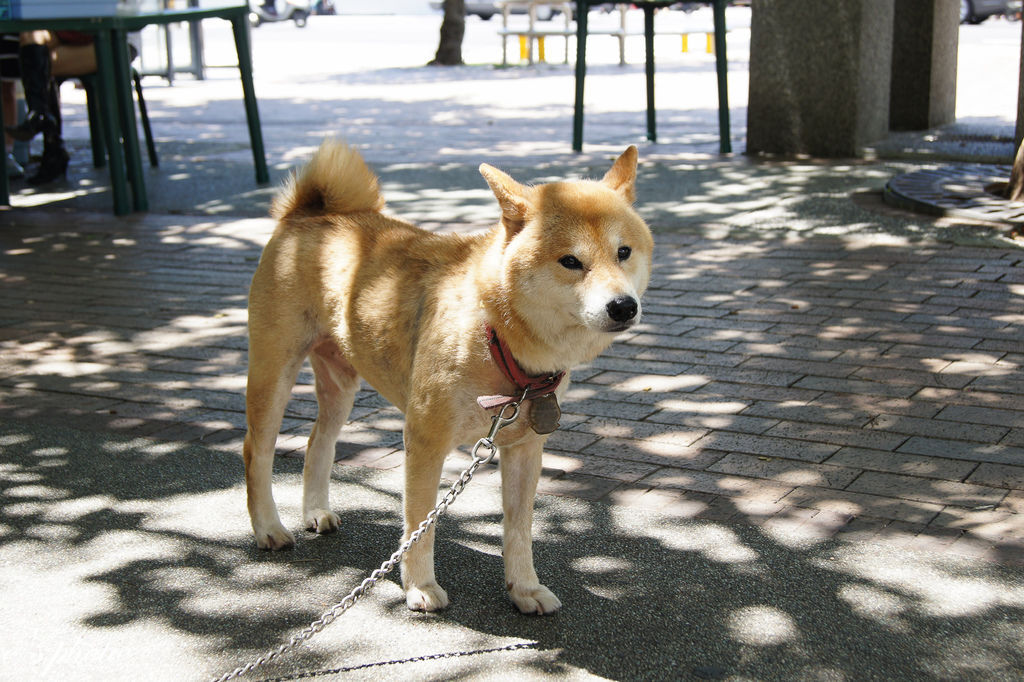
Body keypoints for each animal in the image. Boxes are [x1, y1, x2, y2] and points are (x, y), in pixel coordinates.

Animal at [243, 140, 651, 614]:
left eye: (623, 252)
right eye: (571, 261)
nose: (623, 306)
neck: (497, 337)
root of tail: (305, 213)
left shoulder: (525, 450)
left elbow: (519, 530)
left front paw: (524, 588)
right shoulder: (425, 439)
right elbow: (420, 523)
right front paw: (419, 585)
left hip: (341, 384)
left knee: (317, 441)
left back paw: (314, 511)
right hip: (273, 373)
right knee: (257, 451)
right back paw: (269, 528)